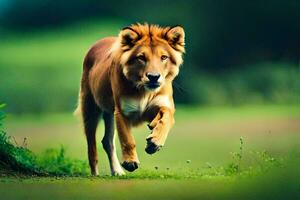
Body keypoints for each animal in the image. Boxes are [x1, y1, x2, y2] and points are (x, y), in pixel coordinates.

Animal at [77, 23, 185, 175]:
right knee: (92, 148)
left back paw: (117, 171)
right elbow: (127, 140)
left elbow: (166, 118)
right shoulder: (122, 112)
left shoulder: (160, 106)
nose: (153, 77)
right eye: (141, 57)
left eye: (164, 57)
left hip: (109, 114)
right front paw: (130, 162)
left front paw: (154, 141)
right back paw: (96, 174)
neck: (144, 91)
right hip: (90, 109)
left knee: (107, 141)